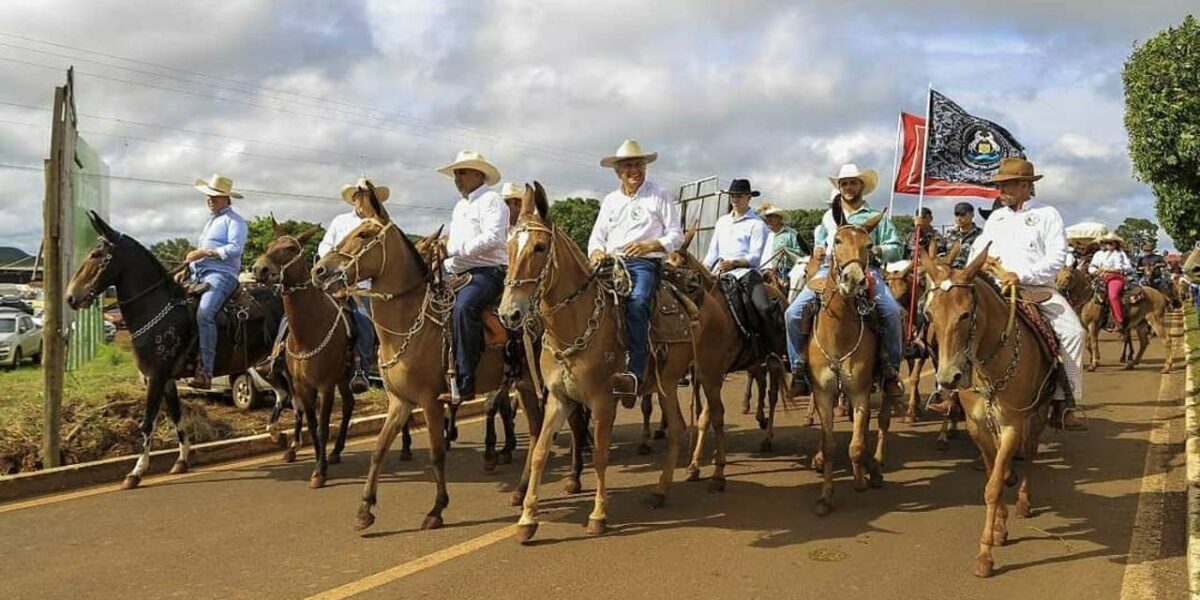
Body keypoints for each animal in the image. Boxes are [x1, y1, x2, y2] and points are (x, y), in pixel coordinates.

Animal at [253, 222, 355, 487]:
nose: (259, 269)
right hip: (342, 378)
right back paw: (335, 452)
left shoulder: (325, 386)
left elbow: (322, 427)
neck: (307, 333)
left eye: (290, 248)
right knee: (348, 404)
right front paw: (320, 464)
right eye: (269, 245)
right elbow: (310, 423)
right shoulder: (302, 385)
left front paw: (319, 471)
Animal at [499, 181, 696, 540]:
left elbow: (601, 456)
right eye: (507, 246)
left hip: (668, 383)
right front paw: (527, 518)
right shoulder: (559, 399)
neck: (574, 328)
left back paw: (661, 490)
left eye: (539, 247)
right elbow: (539, 452)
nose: (509, 313)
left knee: (677, 428)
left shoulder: (603, 401)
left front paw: (598, 515)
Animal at [806, 212, 892, 516]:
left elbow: (855, 443)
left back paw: (871, 467)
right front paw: (824, 497)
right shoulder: (822, 392)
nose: (853, 278)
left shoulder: (859, 391)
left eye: (869, 245)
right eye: (837, 240)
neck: (838, 337)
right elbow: (830, 442)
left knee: (873, 425)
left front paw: (859, 479)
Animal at [921, 243, 1056, 576]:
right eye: (929, 314)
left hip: (1038, 412)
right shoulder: (978, 426)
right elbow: (991, 473)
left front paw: (985, 554)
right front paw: (998, 528)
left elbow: (993, 487)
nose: (949, 378)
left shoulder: (1011, 425)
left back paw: (1024, 500)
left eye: (965, 314)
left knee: (1031, 452)